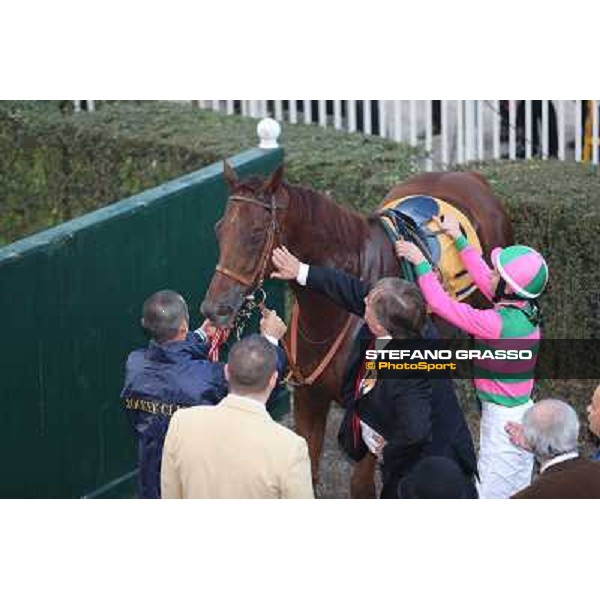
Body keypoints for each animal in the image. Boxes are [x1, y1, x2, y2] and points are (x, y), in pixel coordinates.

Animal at [200, 163, 510, 496]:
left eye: (256, 234)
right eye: (219, 229)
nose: (214, 308)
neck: (330, 314)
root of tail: (467, 176)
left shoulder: (369, 416)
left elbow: (361, 485)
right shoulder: (309, 399)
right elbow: (309, 473)